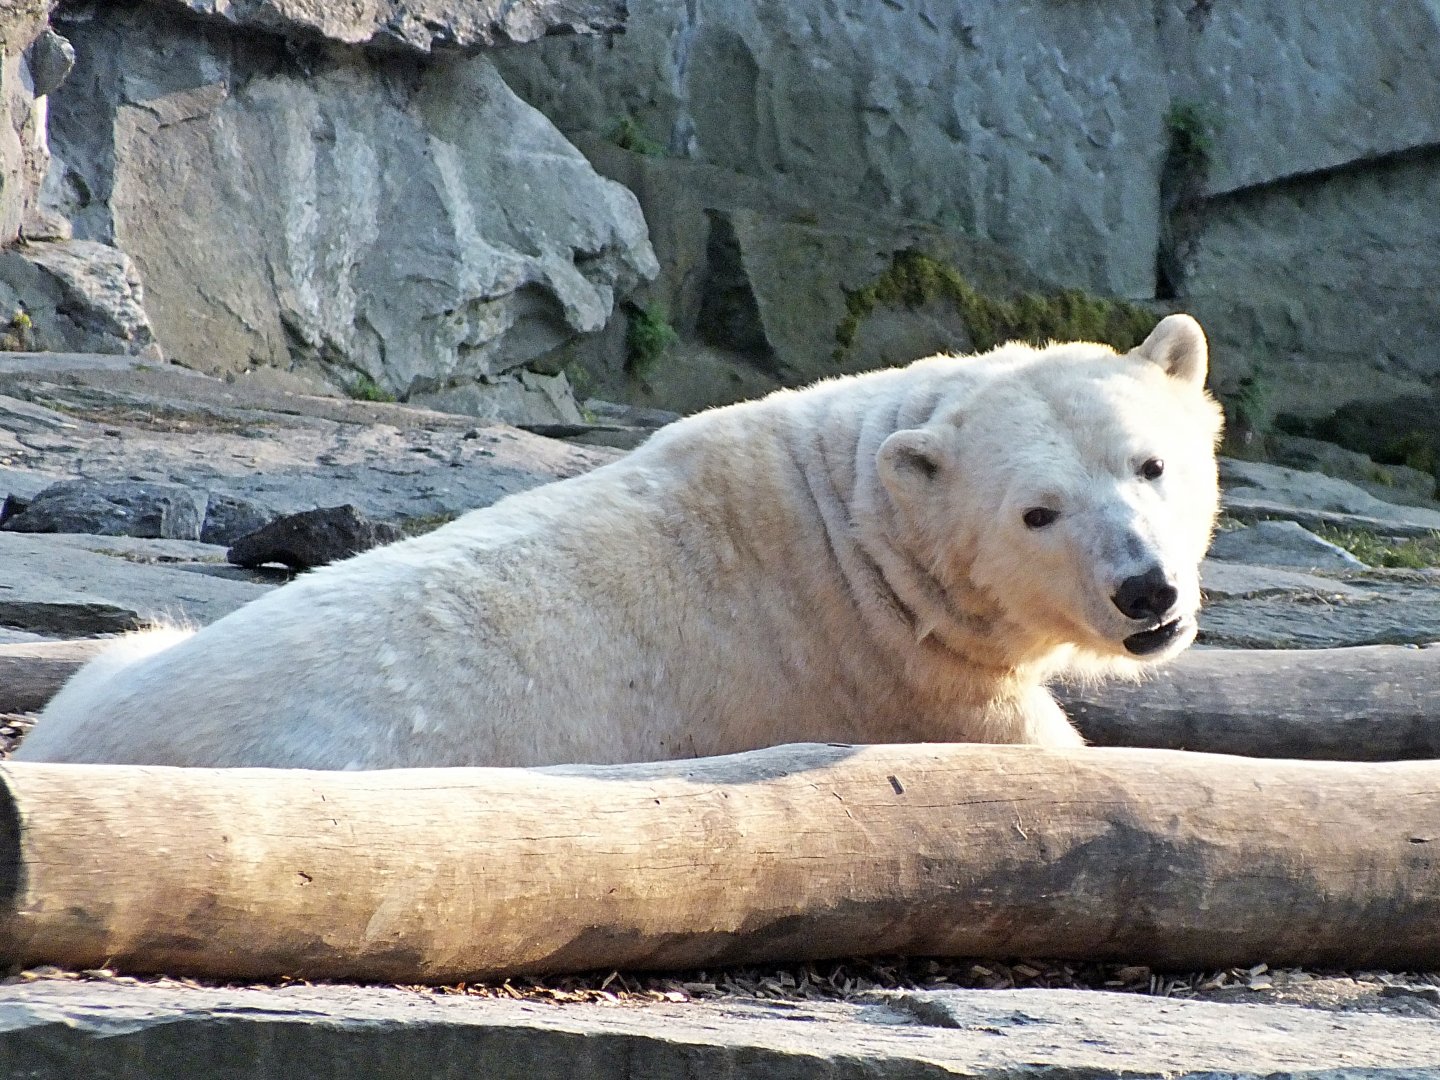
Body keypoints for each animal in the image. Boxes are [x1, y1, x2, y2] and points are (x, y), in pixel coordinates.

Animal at [16, 314, 1222, 770]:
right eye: (1036, 512)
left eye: (1150, 465)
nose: (1145, 593)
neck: (853, 534)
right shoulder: (900, 686)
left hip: (123, 667)